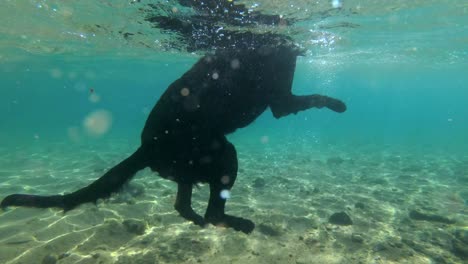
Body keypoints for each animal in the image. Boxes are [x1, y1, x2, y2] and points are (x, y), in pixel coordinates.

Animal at [0, 45, 348, 233]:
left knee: (183, 203)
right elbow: (314, 98)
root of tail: (144, 148)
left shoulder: (281, 101)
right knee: (212, 212)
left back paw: (197, 220)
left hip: (196, 161)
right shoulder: (281, 101)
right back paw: (237, 223)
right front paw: (338, 104)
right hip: (223, 153)